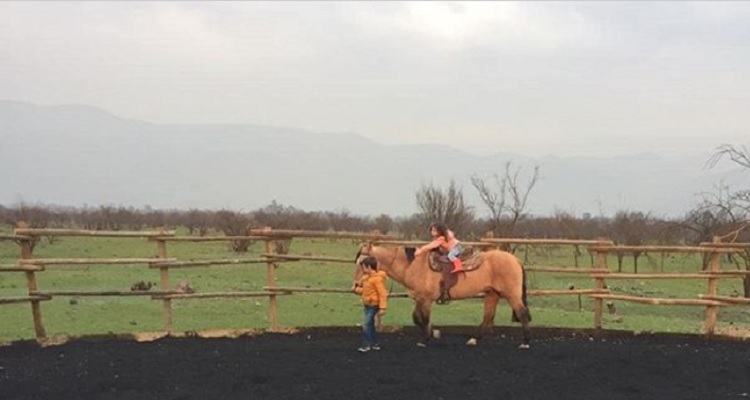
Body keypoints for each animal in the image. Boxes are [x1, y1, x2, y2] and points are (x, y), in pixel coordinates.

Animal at [356, 242, 532, 348]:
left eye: (362, 263)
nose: (357, 285)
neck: (413, 265)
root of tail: (515, 260)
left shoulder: (425, 300)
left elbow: (423, 318)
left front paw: (426, 339)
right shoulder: (419, 299)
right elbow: (416, 318)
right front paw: (432, 333)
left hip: (512, 295)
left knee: (522, 314)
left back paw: (525, 342)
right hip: (491, 294)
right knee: (488, 317)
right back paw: (474, 339)